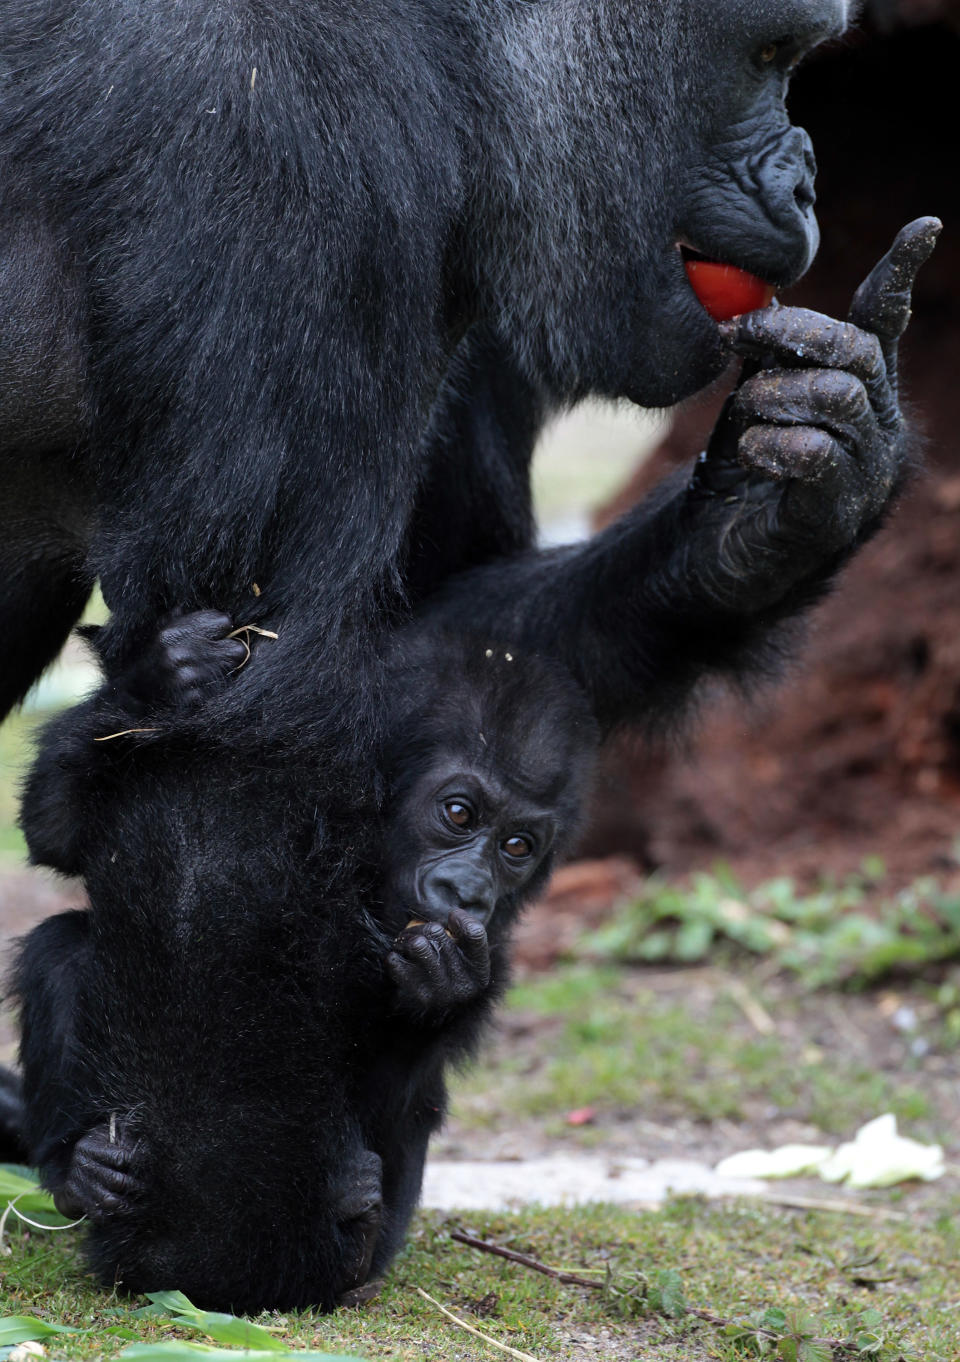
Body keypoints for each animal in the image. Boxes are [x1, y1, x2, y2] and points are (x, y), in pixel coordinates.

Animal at [13, 607, 599, 1296]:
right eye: (458, 813)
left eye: (517, 847)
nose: (471, 892)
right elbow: (57, 833)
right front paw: (161, 679)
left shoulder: (497, 949)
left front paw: (440, 986)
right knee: (60, 946)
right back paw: (78, 1174)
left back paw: (356, 1244)